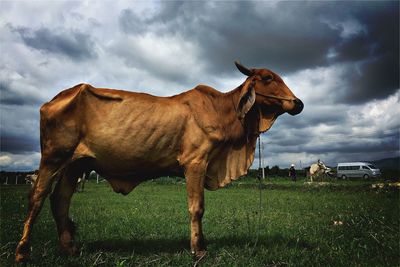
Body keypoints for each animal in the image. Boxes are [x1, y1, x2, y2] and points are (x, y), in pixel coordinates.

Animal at [15, 61, 304, 262]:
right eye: (267, 78)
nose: (298, 103)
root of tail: (56, 97)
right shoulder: (195, 162)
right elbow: (197, 208)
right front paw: (198, 250)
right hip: (53, 157)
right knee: (37, 196)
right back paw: (22, 252)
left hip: (75, 165)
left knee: (60, 200)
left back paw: (70, 248)